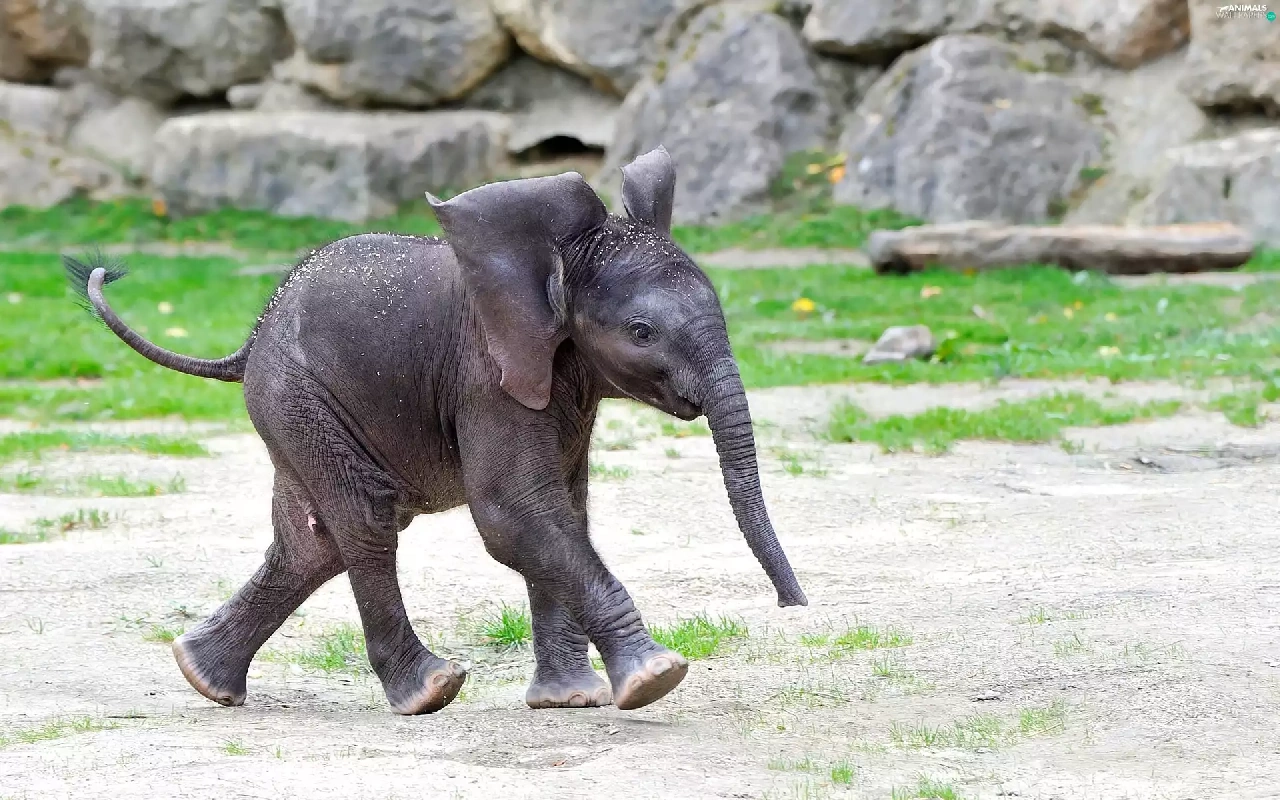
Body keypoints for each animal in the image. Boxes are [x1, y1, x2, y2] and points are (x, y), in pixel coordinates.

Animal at [66, 146, 808, 715]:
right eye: (643, 332)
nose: (793, 605)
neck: (555, 262)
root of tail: (248, 343)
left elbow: (561, 513)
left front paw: (569, 700)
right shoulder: (487, 378)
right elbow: (515, 514)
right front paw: (656, 678)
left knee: (314, 544)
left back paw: (205, 677)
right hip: (298, 395)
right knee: (365, 522)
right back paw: (428, 691)